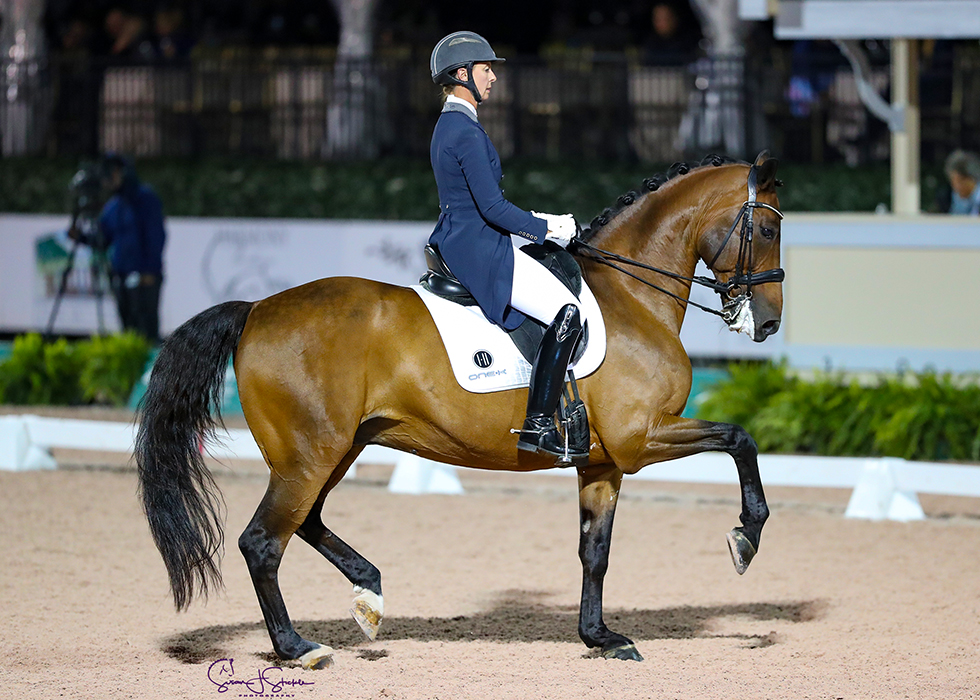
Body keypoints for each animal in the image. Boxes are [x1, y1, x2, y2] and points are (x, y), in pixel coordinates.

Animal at [136, 150, 780, 664]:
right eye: (771, 229)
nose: (769, 324)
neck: (632, 298)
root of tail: (255, 310)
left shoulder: (604, 461)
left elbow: (594, 552)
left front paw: (600, 637)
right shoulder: (640, 437)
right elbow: (739, 437)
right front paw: (746, 537)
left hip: (336, 449)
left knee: (307, 520)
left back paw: (368, 595)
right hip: (309, 456)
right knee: (264, 542)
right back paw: (299, 648)